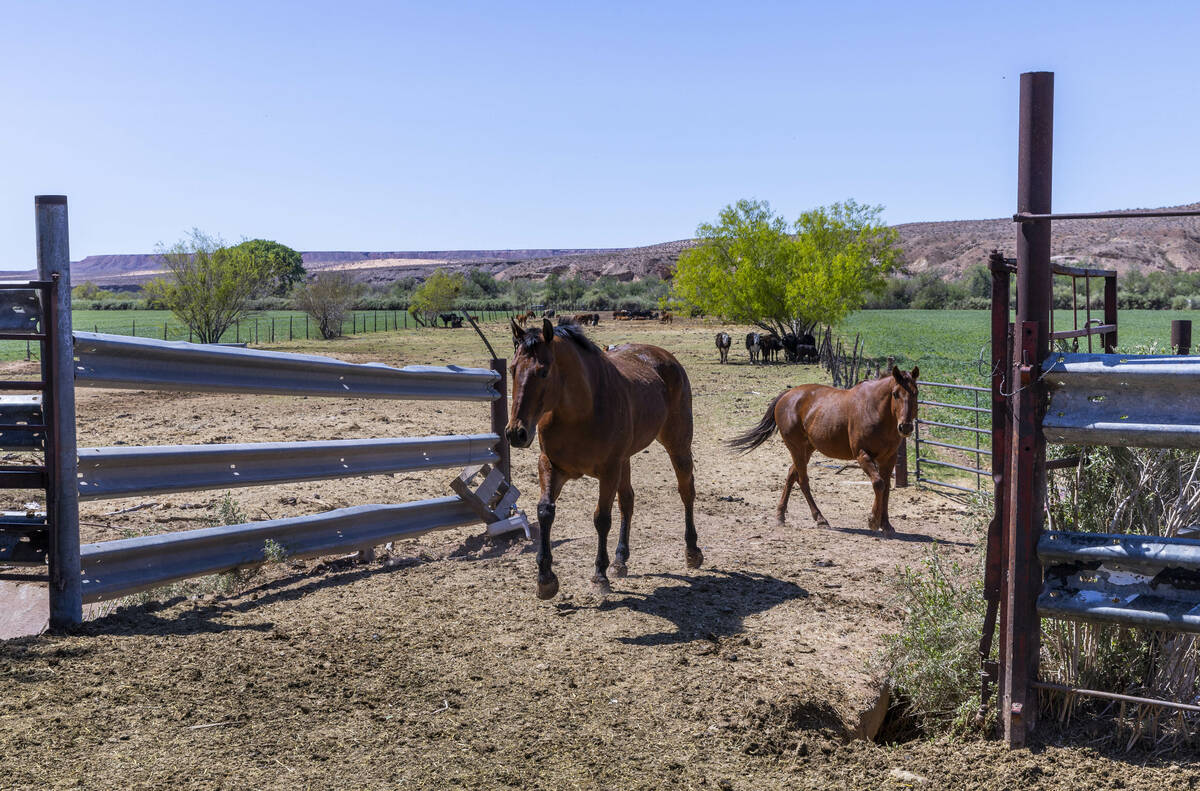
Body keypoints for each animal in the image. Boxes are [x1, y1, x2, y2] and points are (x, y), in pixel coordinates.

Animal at [506, 319, 702, 599]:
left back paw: (692, 551)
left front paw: (599, 575)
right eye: (512, 369)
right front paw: (545, 579)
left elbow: (602, 518)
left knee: (686, 491)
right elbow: (545, 511)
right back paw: (621, 560)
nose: (516, 433)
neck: (580, 412)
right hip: (625, 460)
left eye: (543, 372)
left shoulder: (609, 471)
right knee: (628, 501)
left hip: (677, 444)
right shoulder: (551, 465)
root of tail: (664, 356)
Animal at [728, 366, 919, 537]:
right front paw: (873, 520)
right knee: (803, 480)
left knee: (791, 474)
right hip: (797, 448)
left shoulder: (889, 459)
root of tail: (787, 395)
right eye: (895, 394)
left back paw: (780, 516)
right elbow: (879, 484)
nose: (905, 427)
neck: (876, 410)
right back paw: (820, 519)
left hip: (806, 449)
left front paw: (886, 525)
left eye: (915, 393)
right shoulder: (862, 455)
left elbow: (886, 489)